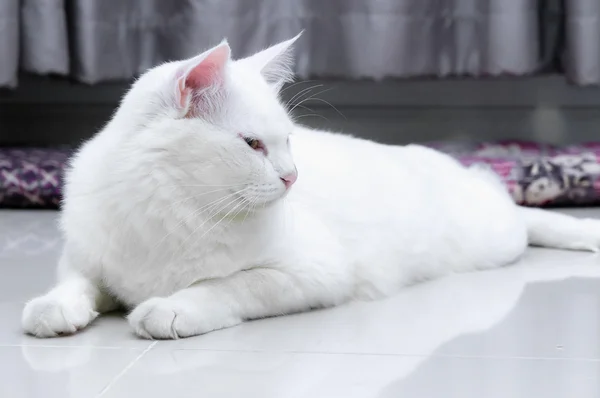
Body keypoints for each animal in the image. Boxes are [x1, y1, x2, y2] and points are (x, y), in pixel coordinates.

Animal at [21, 33, 600, 338]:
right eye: (253, 144)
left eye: (288, 142)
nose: (292, 176)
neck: (173, 205)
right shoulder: (84, 255)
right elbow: (76, 283)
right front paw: (53, 309)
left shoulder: (310, 273)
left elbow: (226, 286)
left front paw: (170, 308)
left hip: (496, 234)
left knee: (522, 215)